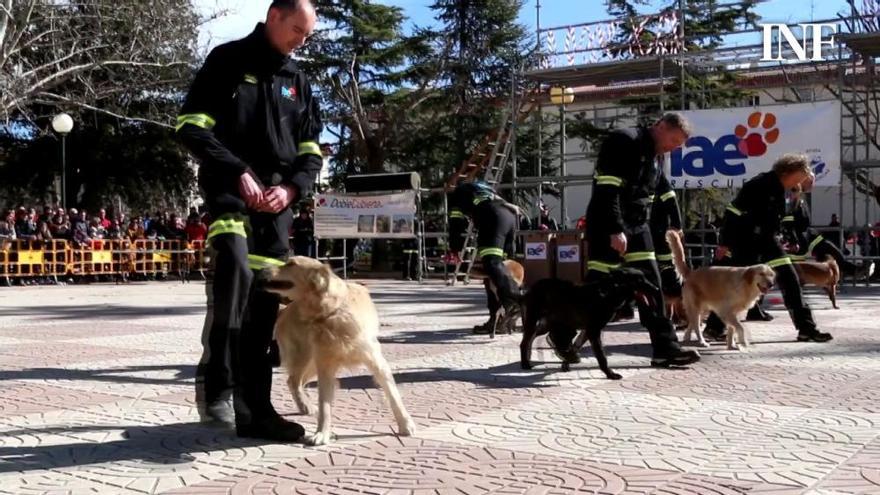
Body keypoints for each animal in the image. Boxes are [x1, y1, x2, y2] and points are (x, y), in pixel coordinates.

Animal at [264, 258, 416, 448]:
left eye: (291, 263)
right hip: (305, 356)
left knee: (297, 381)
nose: (262, 269)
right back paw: (305, 405)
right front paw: (322, 434)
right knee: (293, 381)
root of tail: (284, 310)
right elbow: (325, 405)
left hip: (310, 362)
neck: (332, 311)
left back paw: (305, 406)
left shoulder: (377, 363)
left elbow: (394, 396)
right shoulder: (325, 366)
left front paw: (405, 424)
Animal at [524, 268, 660, 380]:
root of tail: (535, 285)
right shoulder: (593, 331)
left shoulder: (587, 330)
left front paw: (567, 361)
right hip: (535, 320)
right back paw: (526, 363)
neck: (610, 292)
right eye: (639, 280)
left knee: (542, 336)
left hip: (552, 323)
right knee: (526, 341)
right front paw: (610, 374)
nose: (657, 289)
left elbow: (576, 346)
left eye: (645, 278)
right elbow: (601, 356)